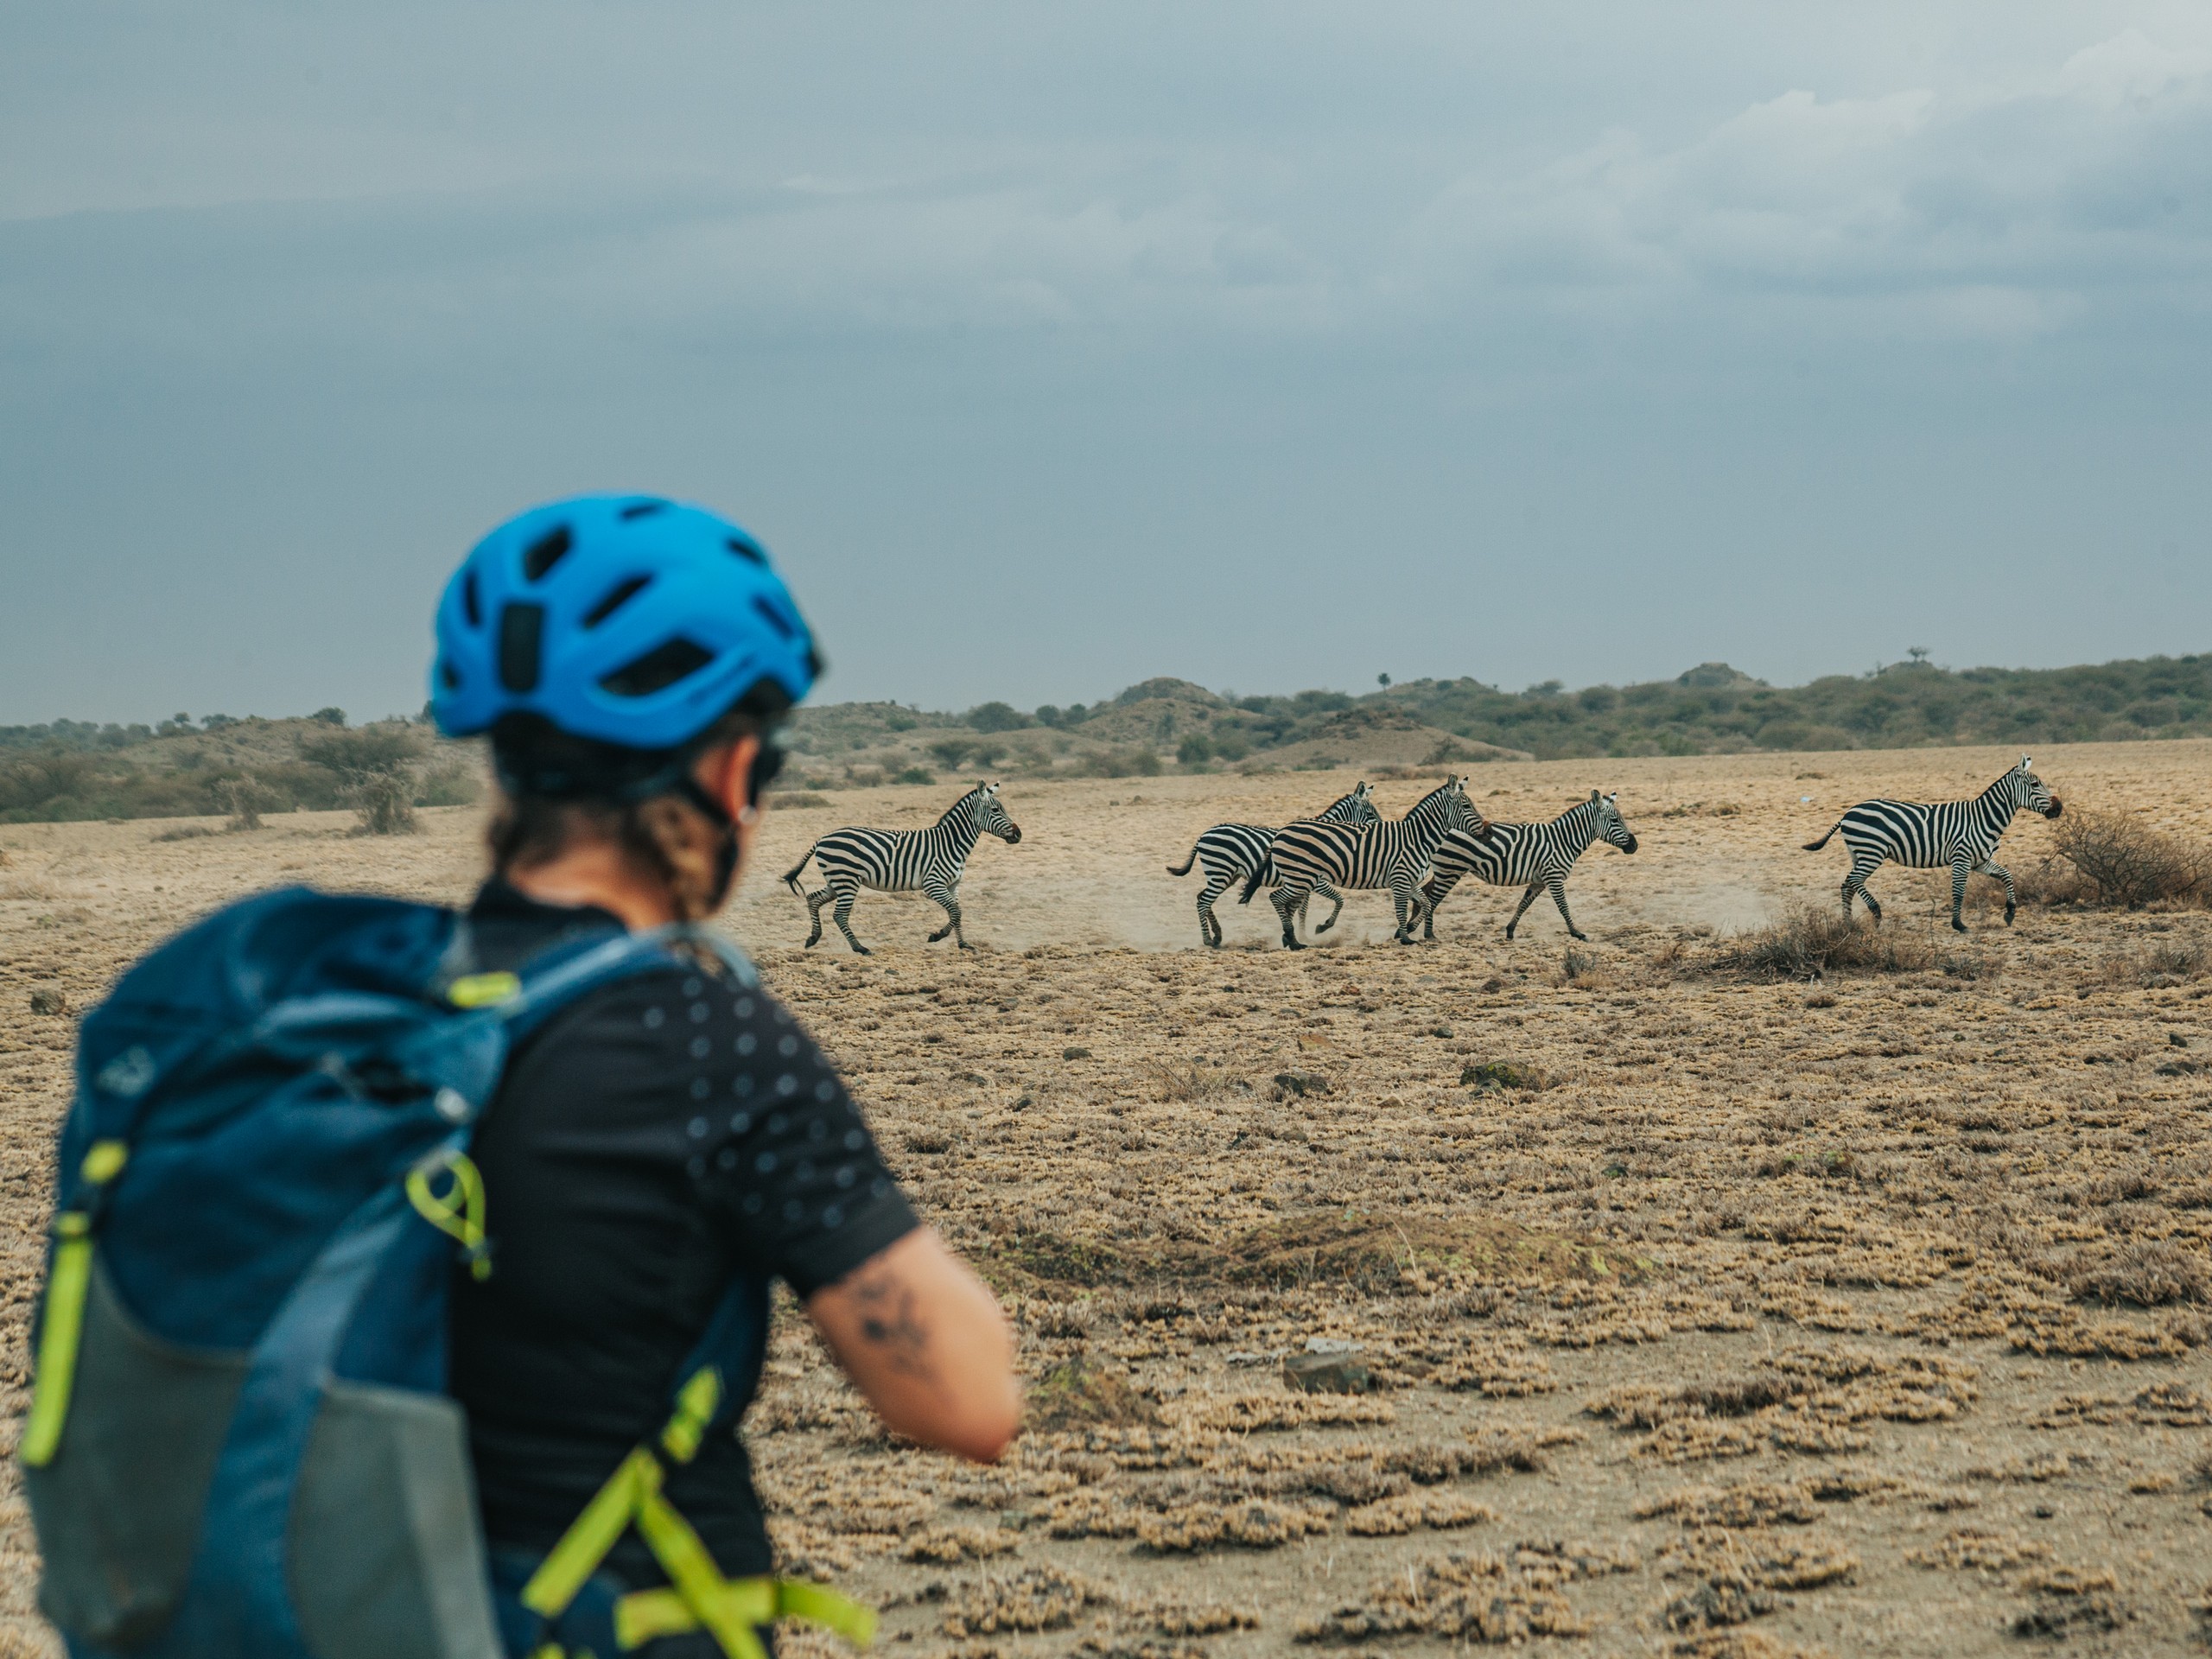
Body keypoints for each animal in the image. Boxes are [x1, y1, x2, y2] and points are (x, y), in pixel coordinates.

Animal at [783, 783, 1021, 955]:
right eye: (995, 810)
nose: (1018, 835)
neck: (950, 843)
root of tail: (822, 838)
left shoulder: (954, 885)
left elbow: (957, 913)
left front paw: (964, 944)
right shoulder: (933, 884)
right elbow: (955, 912)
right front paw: (936, 936)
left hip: (836, 881)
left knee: (813, 898)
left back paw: (813, 937)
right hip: (846, 880)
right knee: (839, 915)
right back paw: (860, 948)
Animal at [1167, 783, 1371, 946]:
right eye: (1371, 813)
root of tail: (1203, 834)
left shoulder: (1305, 883)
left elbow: (1301, 909)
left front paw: (1297, 936)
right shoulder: (1314, 881)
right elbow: (1334, 900)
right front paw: (1312, 931)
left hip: (1227, 876)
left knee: (1202, 897)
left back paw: (1217, 935)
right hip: (1220, 872)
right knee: (1204, 901)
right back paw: (1208, 940)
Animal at [1247, 779, 1486, 946]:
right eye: (1467, 806)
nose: (1487, 831)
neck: (1417, 837)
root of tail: (1282, 831)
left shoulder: (1410, 881)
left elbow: (1426, 904)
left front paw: (1407, 929)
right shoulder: (1400, 879)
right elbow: (1400, 910)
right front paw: (1405, 938)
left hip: (1299, 879)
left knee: (1285, 903)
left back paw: (1292, 939)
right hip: (1302, 878)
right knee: (1276, 898)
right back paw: (1293, 940)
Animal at [1424, 787, 1637, 942]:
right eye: (1615, 820)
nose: (1635, 845)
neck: (1564, 840)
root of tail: (1444, 827)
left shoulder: (1539, 880)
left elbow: (1523, 904)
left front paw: (1510, 931)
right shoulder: (1554, 876)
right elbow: (1563, 907)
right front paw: (1577, 933)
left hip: (1444, 871)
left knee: (1426, 894)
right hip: (1450, 870)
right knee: (1432, 899)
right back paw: (1427, 934)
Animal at [1804, 756, 2061, 938]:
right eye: (2035, 784)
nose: (2059, 808)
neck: (1983, 818)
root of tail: (1847, 813)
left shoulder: (1981, 861)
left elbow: (2007, 876)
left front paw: (2009, 913)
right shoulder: (1961, 858)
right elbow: (1959, 891)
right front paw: (1959, 925)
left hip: (1858, 853)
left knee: (1848, 885)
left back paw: (1848, 925)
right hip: (1871, 852)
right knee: (1854, 880)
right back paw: (1876, 915)